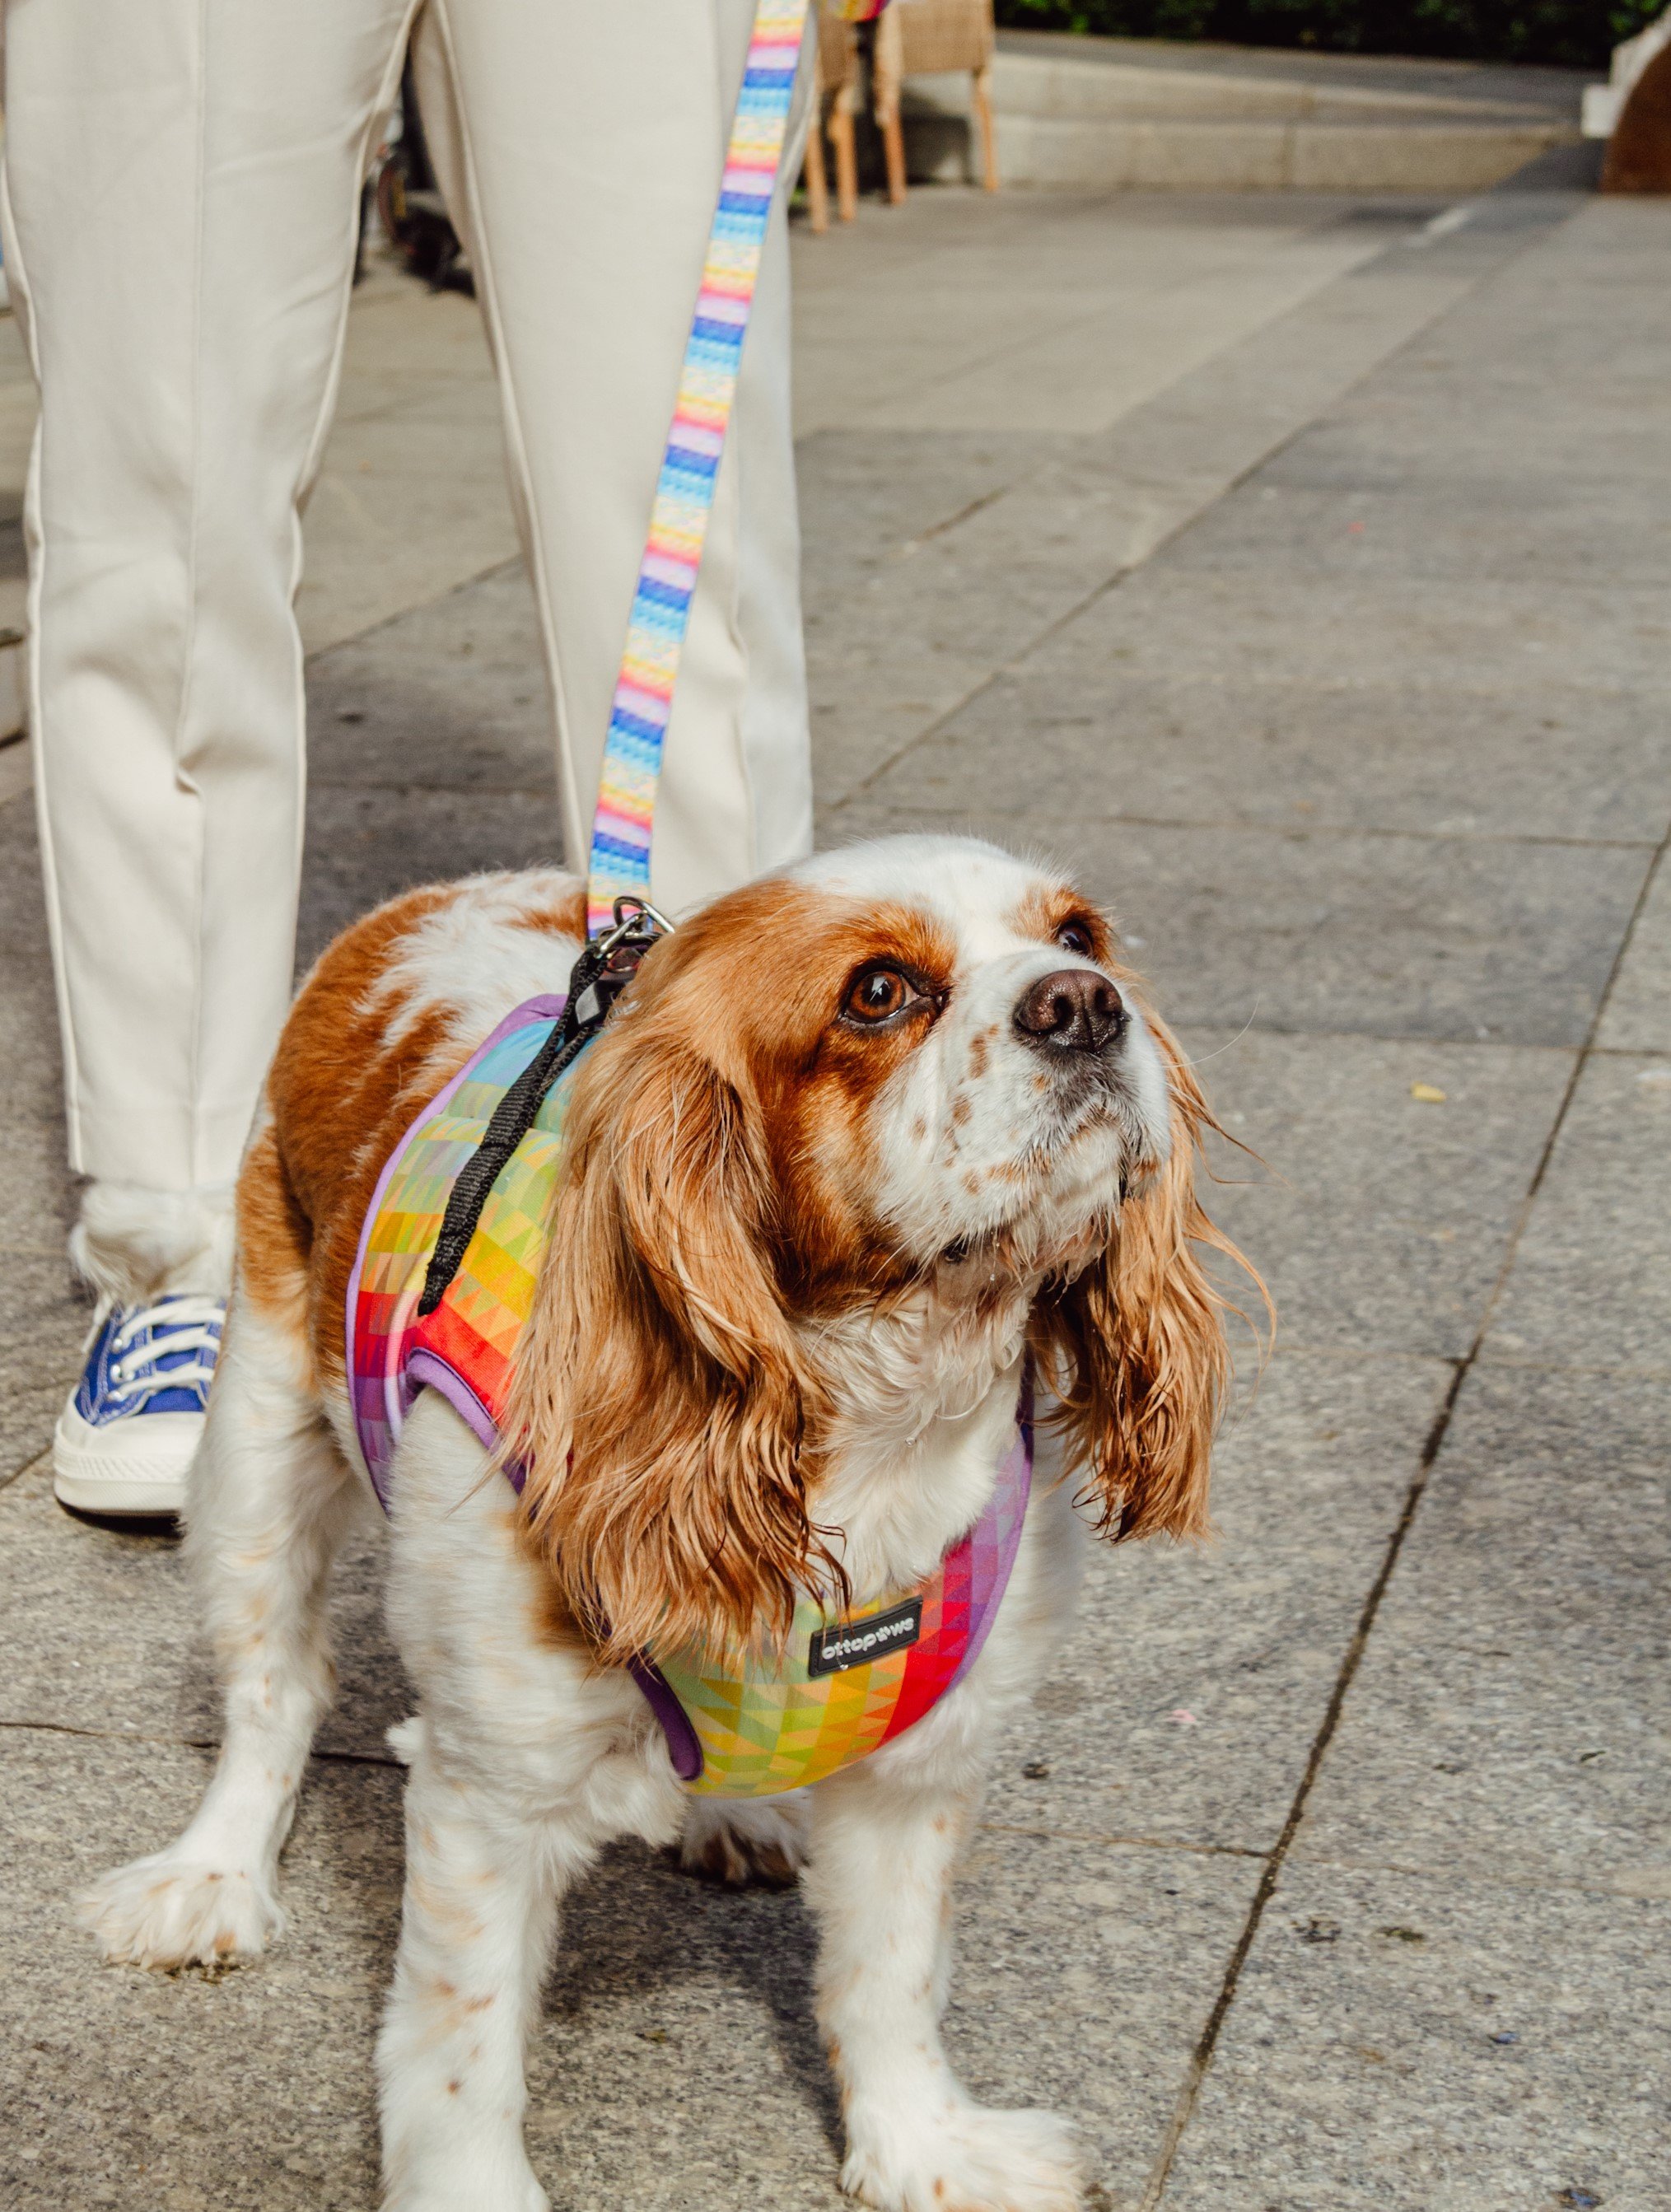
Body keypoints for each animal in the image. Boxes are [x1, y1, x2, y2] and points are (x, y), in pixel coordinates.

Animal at [85, 831, 1248, 2212]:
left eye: (1078, 936)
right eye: (877, 993)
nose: (1083, 1005)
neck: (872, 1420)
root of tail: (441, 894)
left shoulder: (917, 1765)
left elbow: (889, 1979)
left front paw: (922, 2147)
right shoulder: (489, 1784)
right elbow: (458, 2045)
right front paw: (470, 2190)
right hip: (254, 1440)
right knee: (274, 1692)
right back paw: (210, 1876)